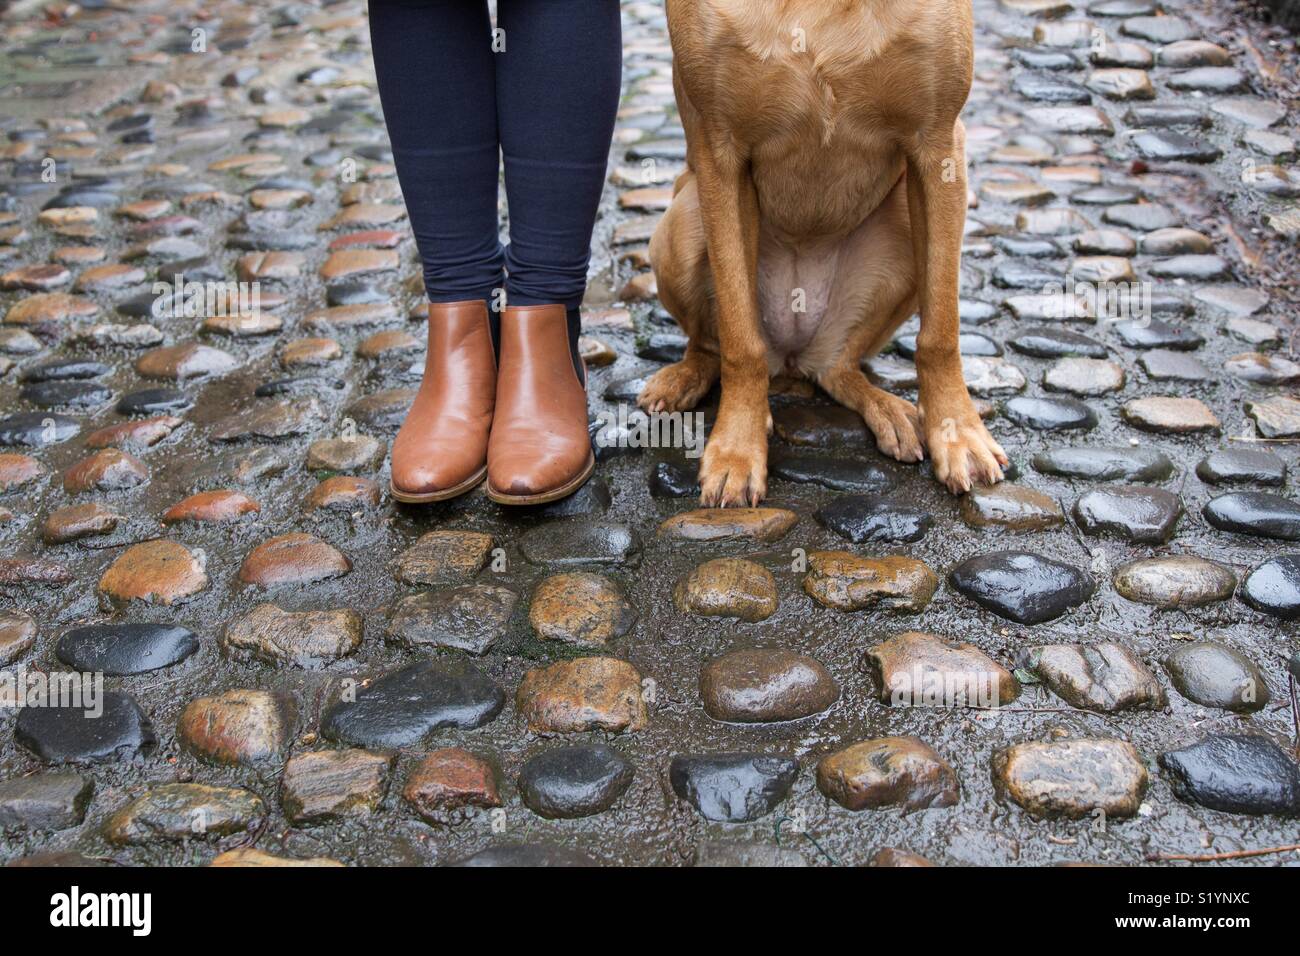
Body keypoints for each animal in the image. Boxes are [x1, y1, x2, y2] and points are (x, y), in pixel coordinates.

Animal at [639, 0, 1003, 509]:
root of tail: (792, 359)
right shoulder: (720, 159)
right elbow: (739, 340)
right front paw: (737, 449)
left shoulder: (940, 147)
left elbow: (941, 331)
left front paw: (957, 433)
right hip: (682, 221)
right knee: (710, 344)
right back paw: (685, 378)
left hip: (902, 221)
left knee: (839, 370)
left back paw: (886, 409)